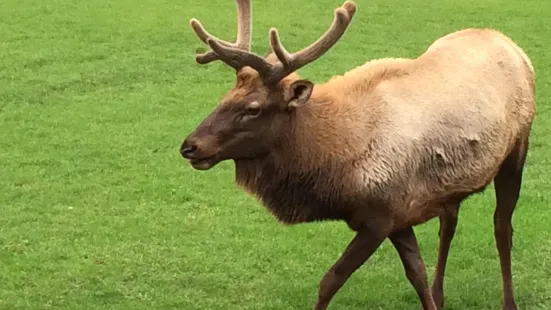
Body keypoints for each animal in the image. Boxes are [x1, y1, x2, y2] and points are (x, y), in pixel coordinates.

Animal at [180, 0, 536, 310]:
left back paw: (509, 301)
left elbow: (330, 280)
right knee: (449, 224)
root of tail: (513, 46)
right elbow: (417, 275)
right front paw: (432, 299)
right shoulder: (400, 212)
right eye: (226, 97)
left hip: (518, 147)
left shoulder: (380, 215)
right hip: (451, 183)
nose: (190, 146)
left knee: (502, 227)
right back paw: (442, 292)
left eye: (252, 108)